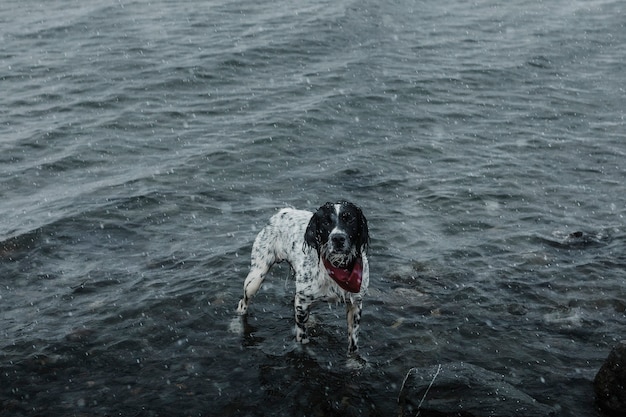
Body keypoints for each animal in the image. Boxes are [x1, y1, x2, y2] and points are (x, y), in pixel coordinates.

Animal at [236, 200, 368, 352]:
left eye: (350, 219)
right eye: (326, 222)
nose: (338, 238)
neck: (337, 267)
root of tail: (284, 211)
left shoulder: (356, 304)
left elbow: (353, 342)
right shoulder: (302, 302)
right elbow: (302, 338)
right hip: (255, 278)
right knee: (243, 303)